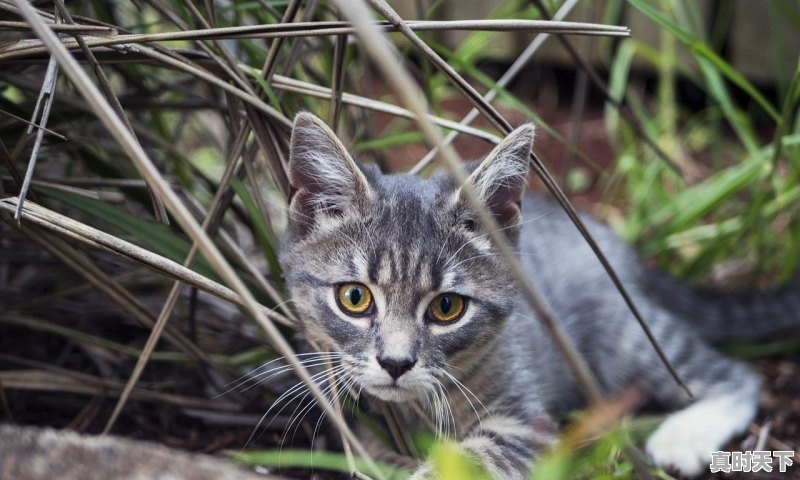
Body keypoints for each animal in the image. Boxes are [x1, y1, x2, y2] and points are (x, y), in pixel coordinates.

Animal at [276, 110, 800, 478]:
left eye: (447, 307)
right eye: (355, 298)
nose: (396, 363)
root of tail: (608, 241)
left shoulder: (526, 423)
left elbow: (474, 459)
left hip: (625, 336)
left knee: (734, 376)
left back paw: (683, 437)